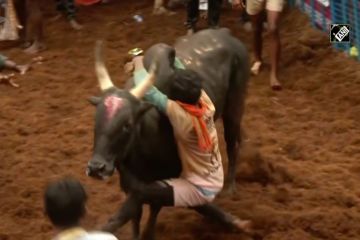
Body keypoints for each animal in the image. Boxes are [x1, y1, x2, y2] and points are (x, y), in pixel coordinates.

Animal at [87, 28, 250, 238]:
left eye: (127, 124)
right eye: (96, 119)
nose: (96, 168)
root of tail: (226, 33)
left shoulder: (162, 180)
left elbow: (154, 206)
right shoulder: (130, 182)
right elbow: (136, 214)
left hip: (235, 107)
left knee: (232, 143)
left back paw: (230, 188)